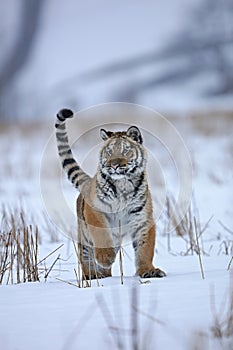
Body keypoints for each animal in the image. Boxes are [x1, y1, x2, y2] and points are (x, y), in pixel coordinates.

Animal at [55, 108, 167, 280]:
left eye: (125, 151)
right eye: (108, 152)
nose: (113, 165)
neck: (123, 185)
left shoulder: (142, 219)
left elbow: (145, 248)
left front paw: (148, 271)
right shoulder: (95, 211)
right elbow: (102, 235)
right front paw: (105, 258)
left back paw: (104, 274)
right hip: (84, 236)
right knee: (85, 255)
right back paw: (92, 275)